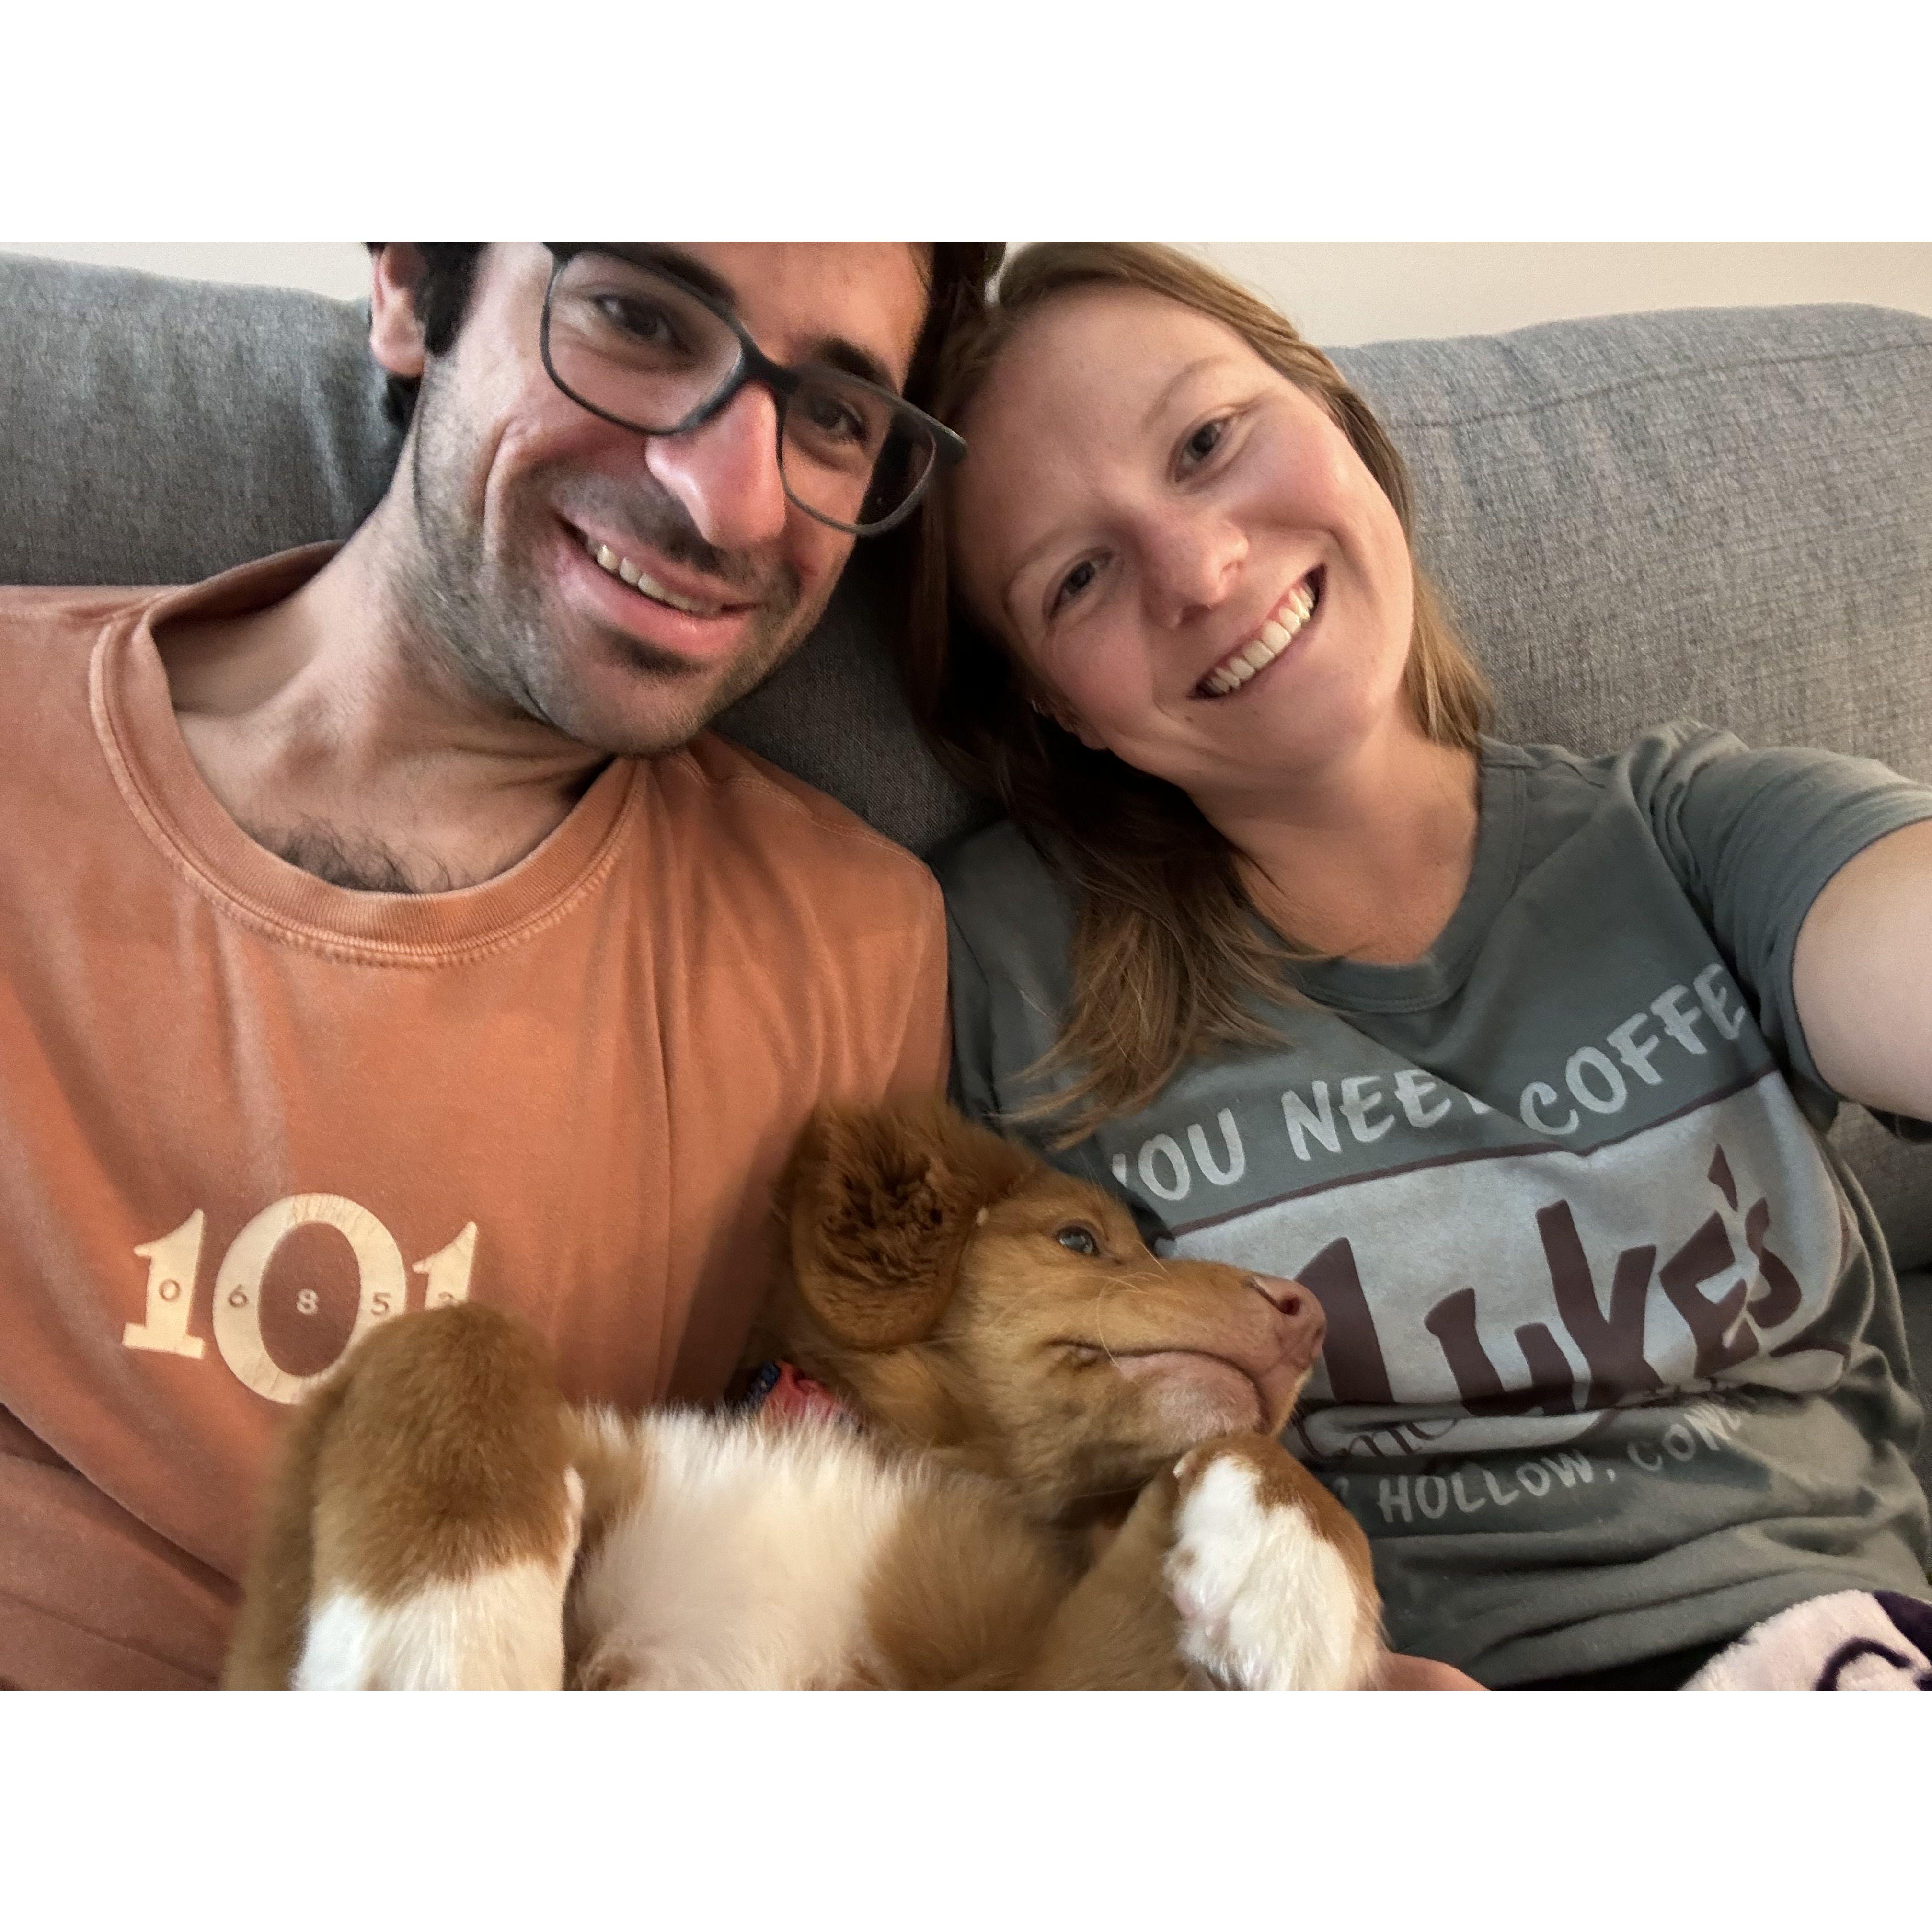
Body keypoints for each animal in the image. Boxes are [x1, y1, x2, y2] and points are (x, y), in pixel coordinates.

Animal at [224, 1100, 1382, 1689]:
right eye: (1079, 1241)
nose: (1309, 1317)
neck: (874, 1442)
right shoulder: (260, 1652)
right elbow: (458, 1331)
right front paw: (444, 1638)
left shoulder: (1020, 1677)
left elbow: (1251, 1451)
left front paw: (1298, 1590)